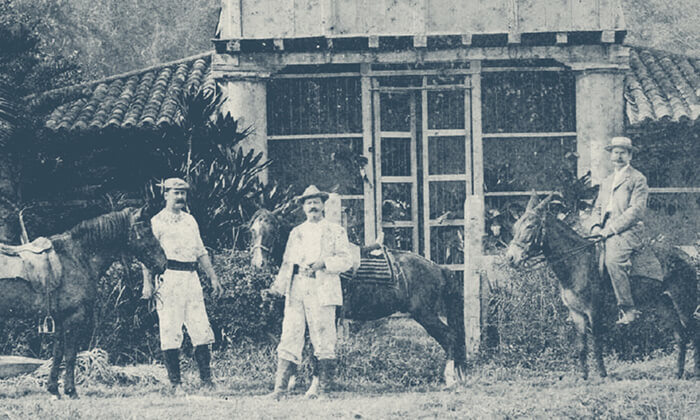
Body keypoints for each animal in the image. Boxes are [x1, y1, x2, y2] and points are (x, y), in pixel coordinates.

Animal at [0, 207, 167, 398]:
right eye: (146, 230)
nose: (163, 263)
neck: (77, 257)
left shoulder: (60, 318)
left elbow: (58, 353)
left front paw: (53, 388)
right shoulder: (74, 317)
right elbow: (70, 354)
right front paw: (71, 390)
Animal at [249, 208, 468, 386]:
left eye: (272, 231)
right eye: (252, 231)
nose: (258, 263)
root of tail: (439, 268)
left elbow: (316, 348)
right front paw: (293, 382)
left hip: (425, 314)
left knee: (450, 337)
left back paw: (450, 379)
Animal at [506, 194, 696, 380]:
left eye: (530, 226)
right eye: (515, 226)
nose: (510, 258)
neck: (578, 262)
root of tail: (686, 256)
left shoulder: (594, 310)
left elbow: (597, 342)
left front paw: (602, 375)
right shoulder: (576, 313)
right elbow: (582, 346)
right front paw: (584, 377)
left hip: (683, 303)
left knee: (693, 334)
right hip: (665, 304)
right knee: (681, 337)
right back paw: (678, 374)